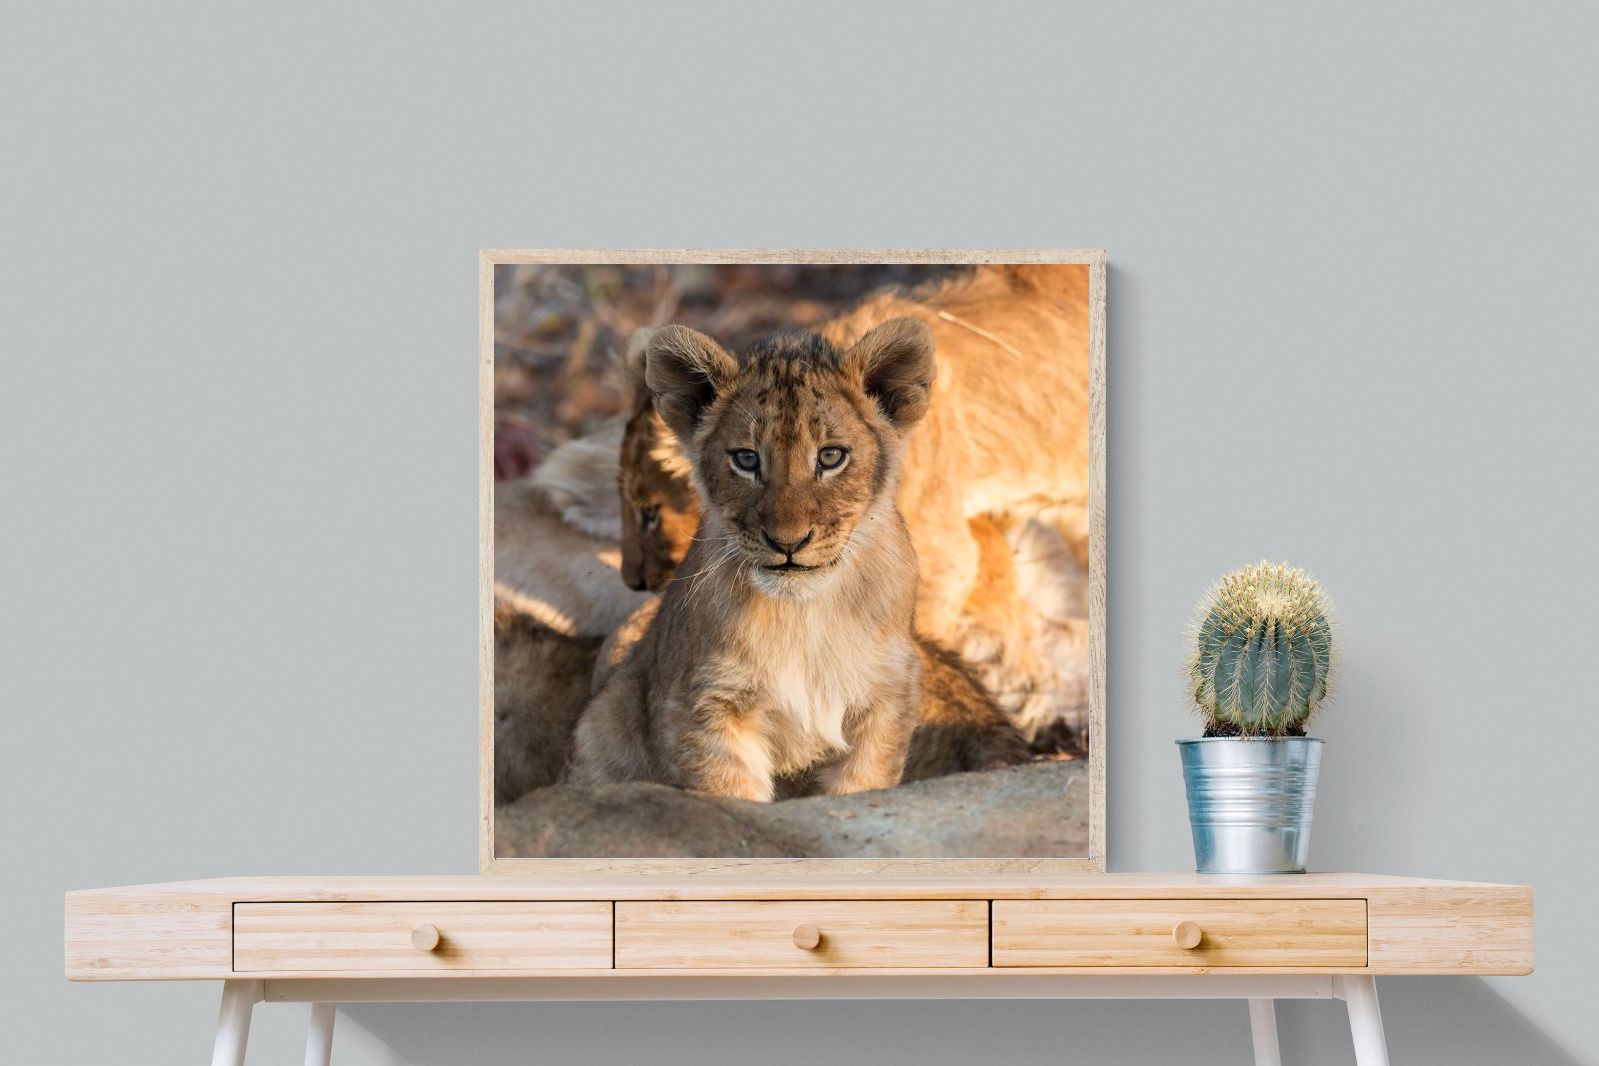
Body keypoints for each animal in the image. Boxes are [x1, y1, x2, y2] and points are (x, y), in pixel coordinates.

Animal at [567, 319, 938, 800]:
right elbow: (730, 795)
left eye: (831, 456)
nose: (788, 542)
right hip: (607, 718)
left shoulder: (886, 696)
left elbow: (861, 787)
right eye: (746, 459)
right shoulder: (705, 703)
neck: (804, 616)